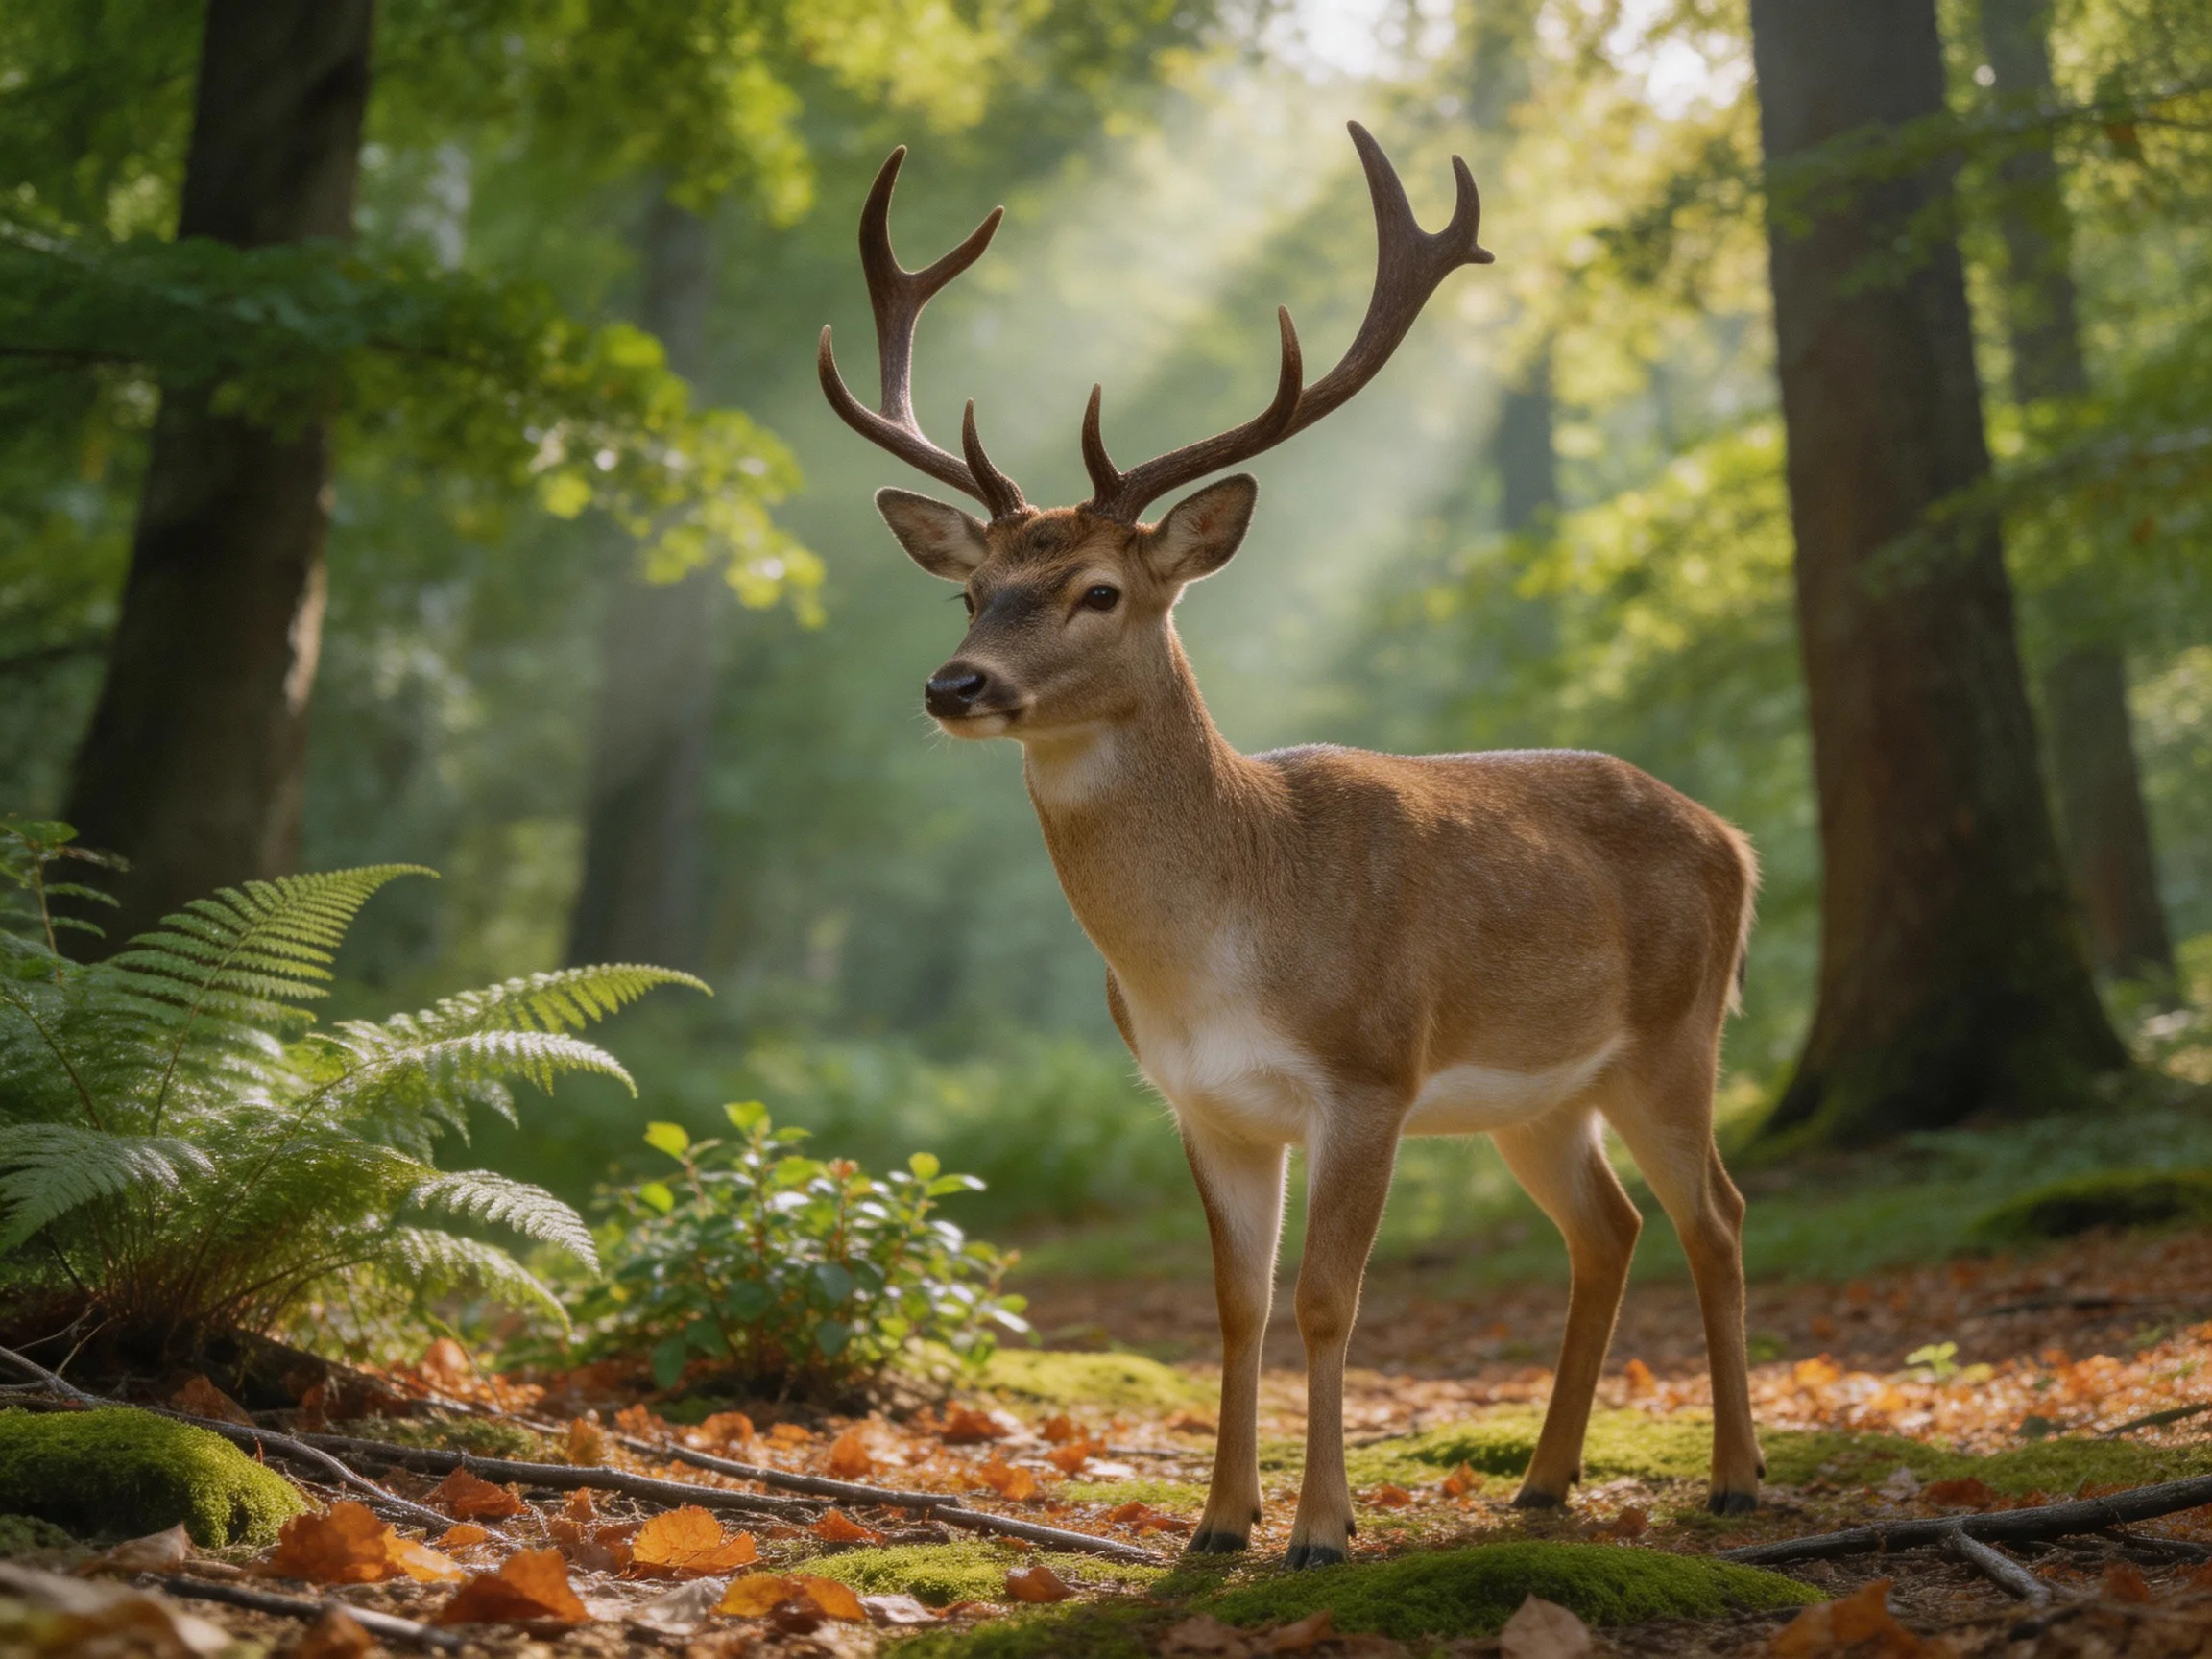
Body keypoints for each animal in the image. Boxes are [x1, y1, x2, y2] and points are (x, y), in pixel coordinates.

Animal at [818, 123, 1763, 1569]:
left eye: (1100, 592)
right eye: (971, 590)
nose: (954, 685)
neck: (1222, 943)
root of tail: (1738, 839)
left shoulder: (1366, 1071)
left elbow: (1326, 1300)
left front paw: (1323, 1530)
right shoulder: (1202, 1101)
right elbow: (1237, 1305)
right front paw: (1216, 1525)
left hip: (1677, 1031)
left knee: (1717, 1215)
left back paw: (1735, 1479)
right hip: (1542, 1092)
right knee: (1608, 1228)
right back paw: (1543, 1485)